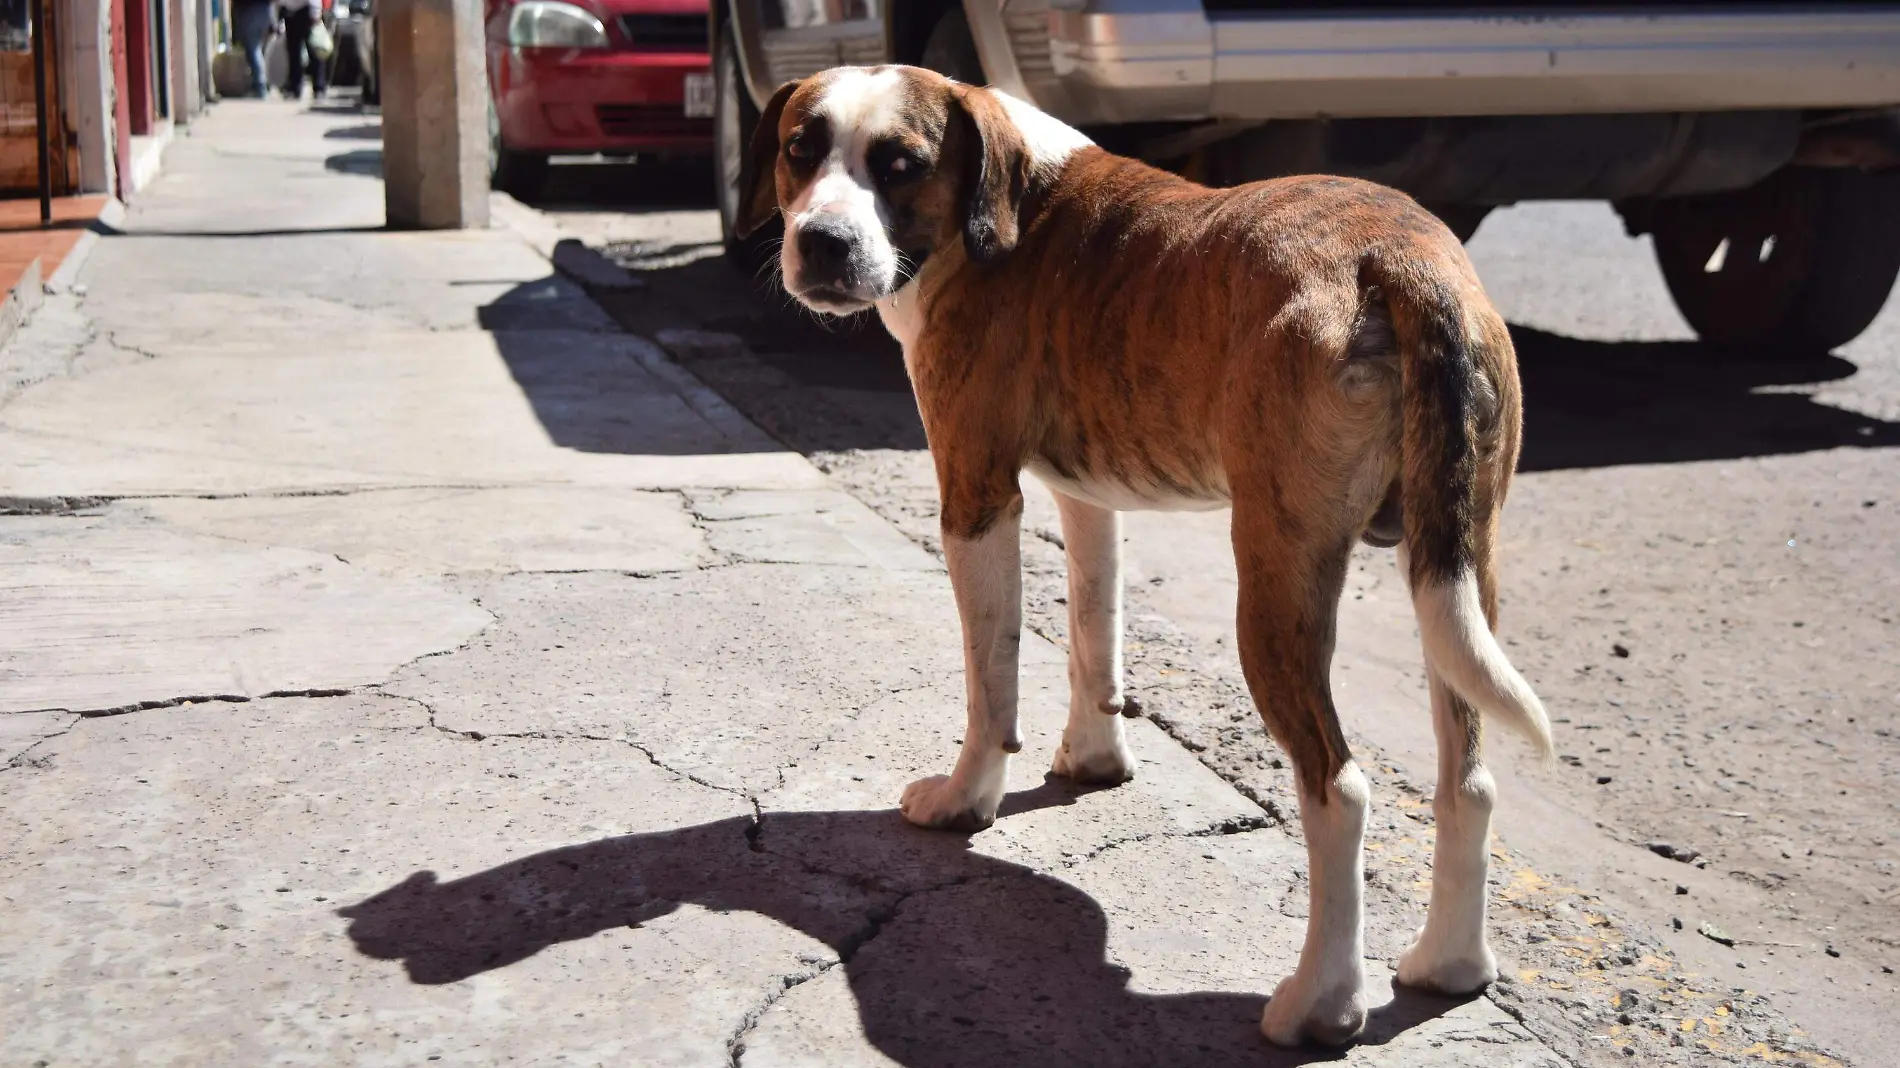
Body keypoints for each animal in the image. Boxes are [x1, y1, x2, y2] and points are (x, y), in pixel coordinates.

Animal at [733, 64, 1550, 1041]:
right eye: (799, 149)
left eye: (901, 163)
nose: (821, 241)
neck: (999, 206)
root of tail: (1399, 260)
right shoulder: (1089, 499)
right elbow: (1093, 634)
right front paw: (1093, 759)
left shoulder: (976, 496)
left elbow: (991, 677)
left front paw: (968, 799)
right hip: (1455, 570)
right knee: (1469, 780)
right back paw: (1449, 966)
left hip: (1277, 579)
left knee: (1339, 788)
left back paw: (1319, 1002)